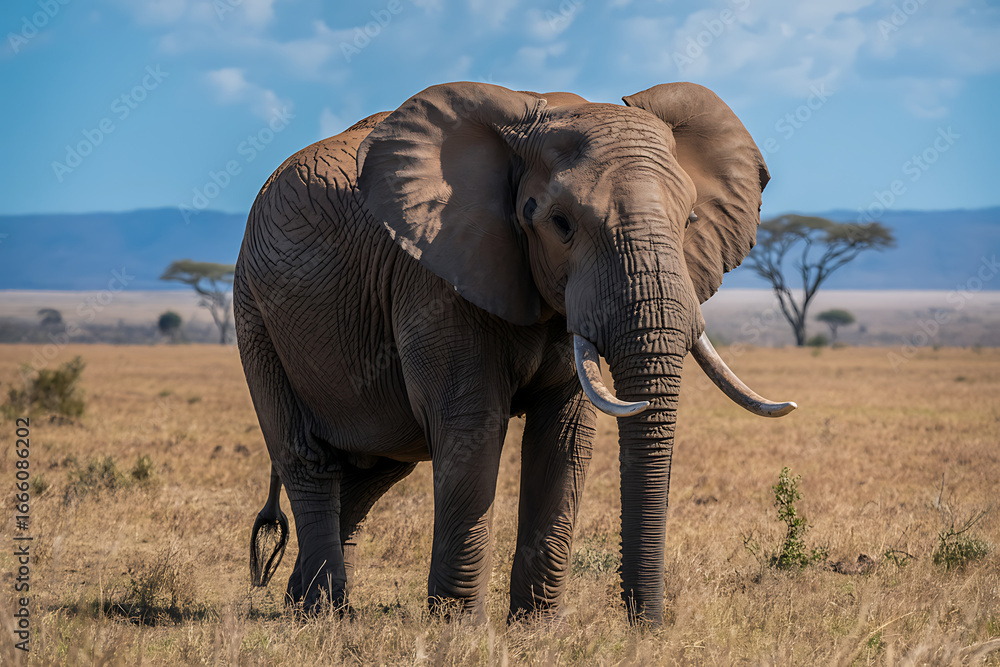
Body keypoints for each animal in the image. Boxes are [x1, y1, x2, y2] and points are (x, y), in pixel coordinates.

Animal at [235, 81, 796, 626]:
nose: (647, 627)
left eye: (689, 220)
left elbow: (564, 435)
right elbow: (471, 425)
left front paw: (536, 628)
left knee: (378, 466)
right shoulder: (437, 276)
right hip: (255, 313)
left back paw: (308, 603)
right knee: (307, 457)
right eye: (561, 223)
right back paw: (322, 612)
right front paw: (458, 628)